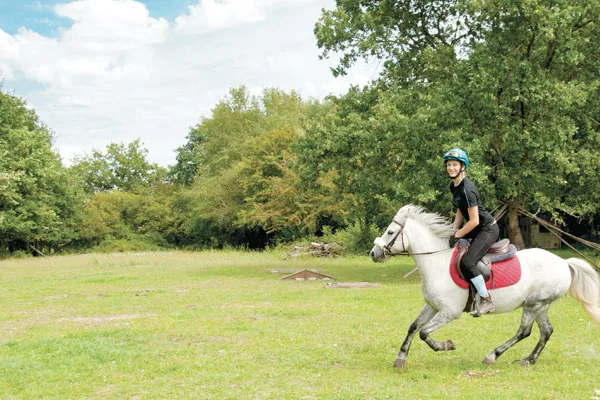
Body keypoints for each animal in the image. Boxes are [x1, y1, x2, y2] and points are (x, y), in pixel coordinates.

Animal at [370, 205, 600, 368]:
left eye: (390, 232)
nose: (373, 253)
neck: (435, 264)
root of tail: (563, 262)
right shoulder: (433, 306)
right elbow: (413, 327)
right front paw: (400, 357)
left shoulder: (449, 312)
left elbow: (424, 333)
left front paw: (446, 345)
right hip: (541, 305)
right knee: (546, 331)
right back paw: (529, 359)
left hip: (534, 304)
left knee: (524, 332)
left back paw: (492, 355)